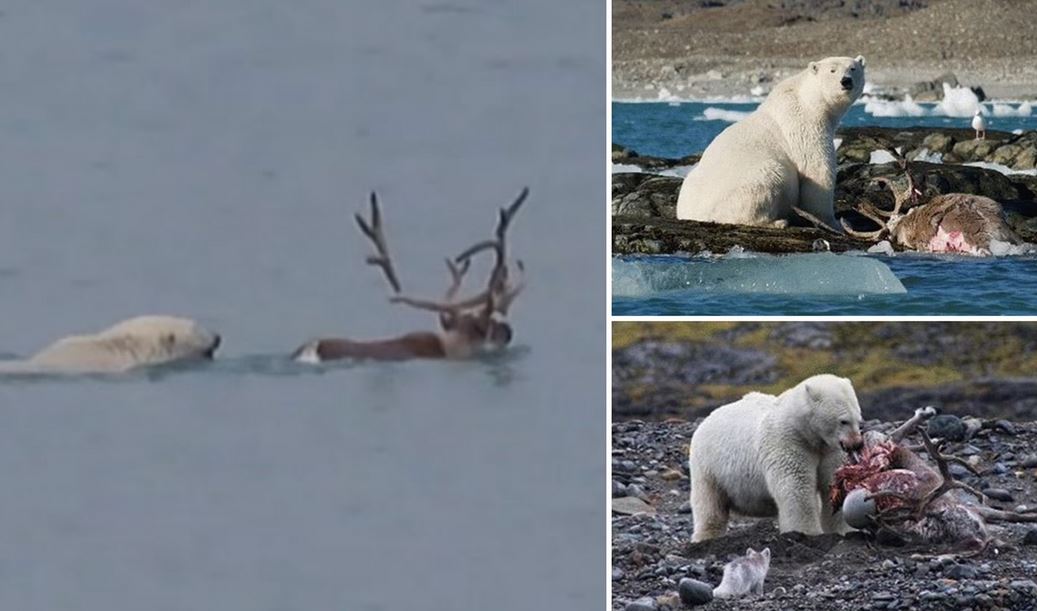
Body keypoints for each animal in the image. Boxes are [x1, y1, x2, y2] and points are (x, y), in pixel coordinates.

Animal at [680, 56, 866, 227]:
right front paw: (834, 223)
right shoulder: (804, 125)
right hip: (750, 182)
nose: (846, 81)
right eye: (832, 70)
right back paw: (777, 222)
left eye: (853, 68)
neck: (808, 99)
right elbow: (817, 170)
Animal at [688, 373, 866, 539]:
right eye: (843, 421)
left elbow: (834, 482)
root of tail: (707, 418)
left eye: (859, 420)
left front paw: (845, 530)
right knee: (709, 503)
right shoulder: (787, 441)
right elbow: (796, 485)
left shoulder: (830, 450)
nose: (856, 444)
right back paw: (706, 536)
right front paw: (806, 533)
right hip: (708, 465)